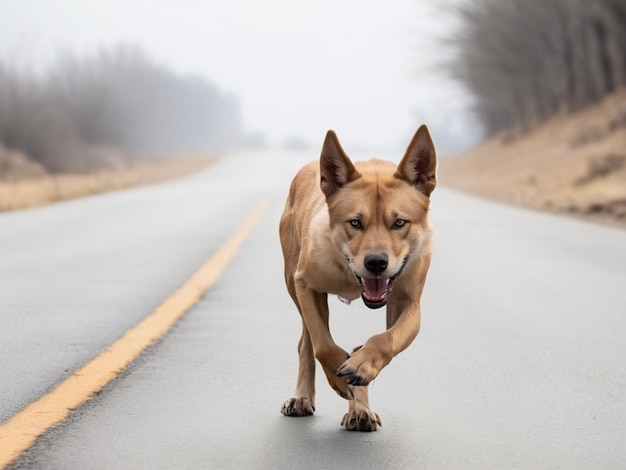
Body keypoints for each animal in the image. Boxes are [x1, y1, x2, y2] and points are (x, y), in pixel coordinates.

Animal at [278, 126, 434, 434]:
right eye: (355, 222)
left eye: (399, 222)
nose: (376, 262)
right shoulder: (305, 283)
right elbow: (323, 344)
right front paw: (340, 377)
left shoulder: (408, 303)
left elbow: (388, 338)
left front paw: (360, 363)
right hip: (292, 280)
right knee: (307, 341)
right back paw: (303, 397)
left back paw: (359, 407)